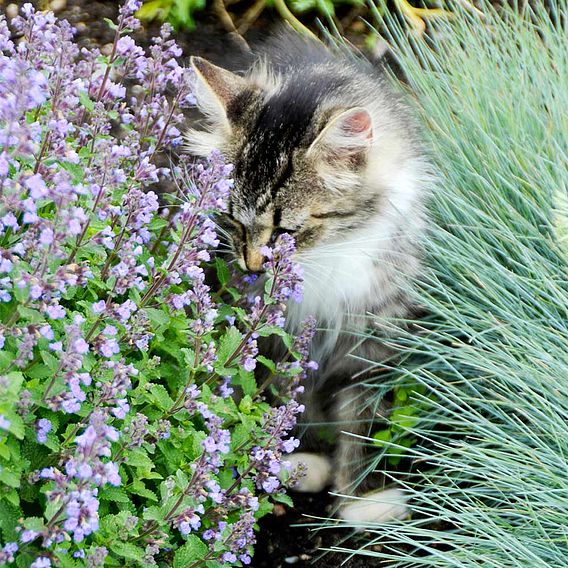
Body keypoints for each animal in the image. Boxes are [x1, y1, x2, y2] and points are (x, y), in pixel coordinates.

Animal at [186, 32, 430, 524]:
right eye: (233, 220)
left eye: (286, 232)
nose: (253, 267)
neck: (332, 253)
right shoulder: (277, 335)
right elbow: (286, 394)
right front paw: (296, 458)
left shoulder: (372, 336)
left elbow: (362, 420)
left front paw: (361, 498)